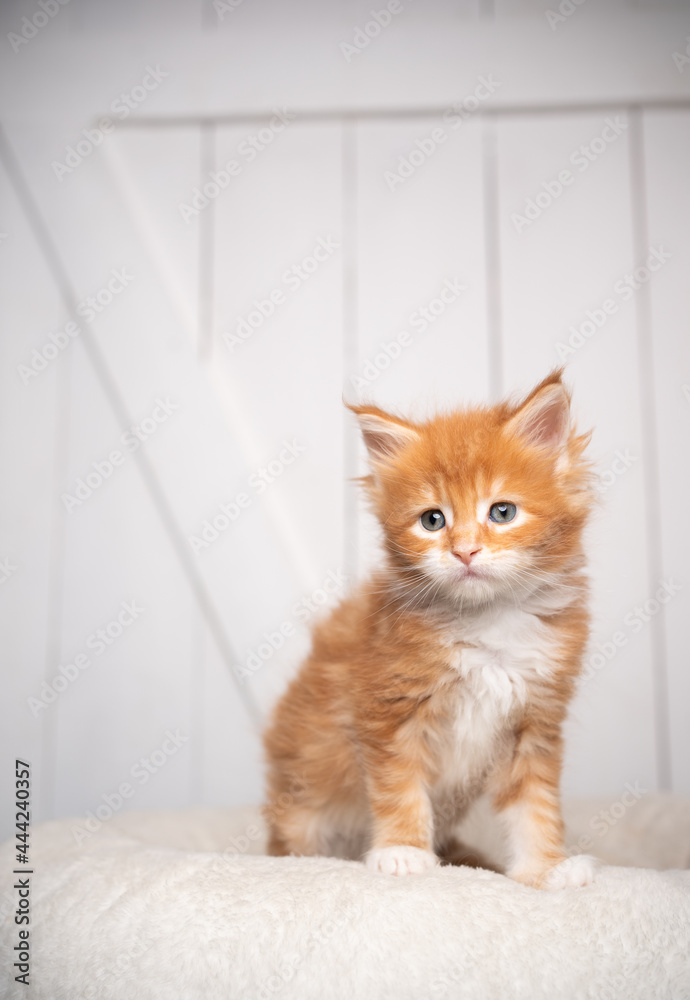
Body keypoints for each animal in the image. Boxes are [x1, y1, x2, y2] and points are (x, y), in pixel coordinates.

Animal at [260, 372, 592, 888]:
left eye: (502, 512)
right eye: (432, 520)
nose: (465, 551)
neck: (487, 621)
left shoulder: (535, 723)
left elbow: (534, 806)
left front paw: (545, 869)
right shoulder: (388, 709)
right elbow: (400, 787)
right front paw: (402, 852)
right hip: (301, 804)